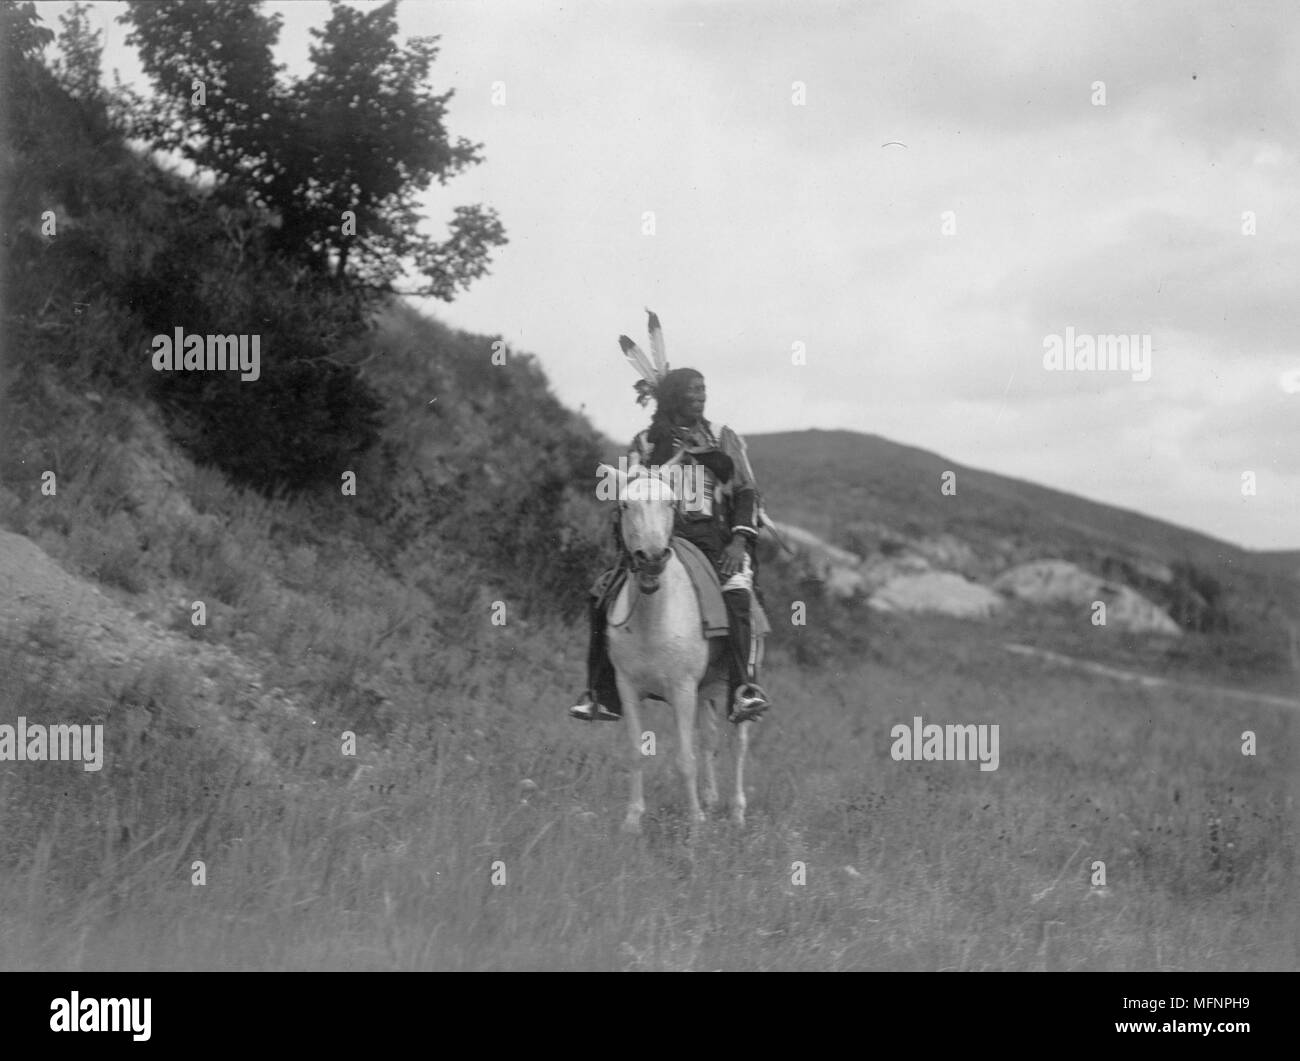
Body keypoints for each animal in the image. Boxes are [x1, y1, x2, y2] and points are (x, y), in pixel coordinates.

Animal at [595, 452, 759, 832]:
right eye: (624, 504)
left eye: (671, 503)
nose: (652, 559)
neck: (653, 619)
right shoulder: (628, 687)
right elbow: (636, 752)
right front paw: (632, 821)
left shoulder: (682, 689)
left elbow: (686, 758)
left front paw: (695, 824)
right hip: (708, 687)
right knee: (710, 739)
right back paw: (712, 799)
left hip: (735, 683)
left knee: (739, 742)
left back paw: (736, 812)